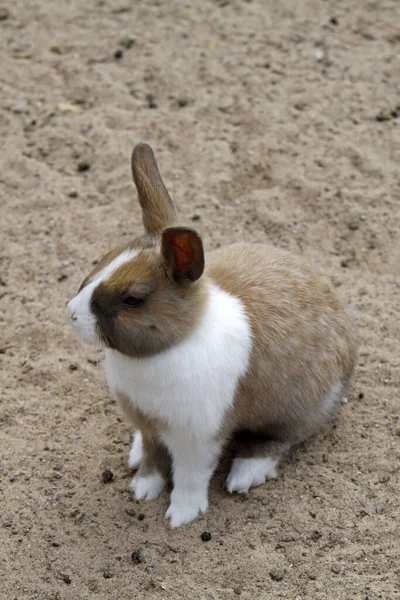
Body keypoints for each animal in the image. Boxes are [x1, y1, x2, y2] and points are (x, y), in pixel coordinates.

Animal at [67, 143, 358, 528]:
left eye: (133, 299)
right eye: (103, 259)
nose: (72, 313)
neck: (172, 345)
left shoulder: (198, 437)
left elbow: (190, 476)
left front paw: (181, 515)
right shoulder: (149, 425)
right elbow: (152, 457)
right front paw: (143, 488)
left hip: (297, 410)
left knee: (280, 440)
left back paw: (244, 474)